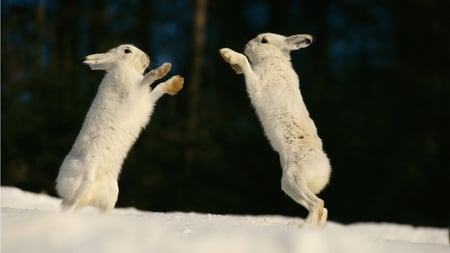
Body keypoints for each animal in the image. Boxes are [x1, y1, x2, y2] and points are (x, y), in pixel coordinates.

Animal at [55, 44, 183, 211]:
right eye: (127, 50)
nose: (147, 57)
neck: (121, 66)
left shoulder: (146, 100)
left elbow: (158, 89)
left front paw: (176, 83)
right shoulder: (134, 92)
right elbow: (147, 79)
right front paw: (163, 69)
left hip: (111, 195)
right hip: (82, 182)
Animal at [220, 32, 332, 226]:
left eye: (264, 40)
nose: (247, 45)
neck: (274, 59)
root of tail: (324, 169)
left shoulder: (258, 85)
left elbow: (246, 64)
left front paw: (230, 54)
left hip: (292, 179)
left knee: (317, 204)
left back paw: (302, 227)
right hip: (289, 187)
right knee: (321, 209)